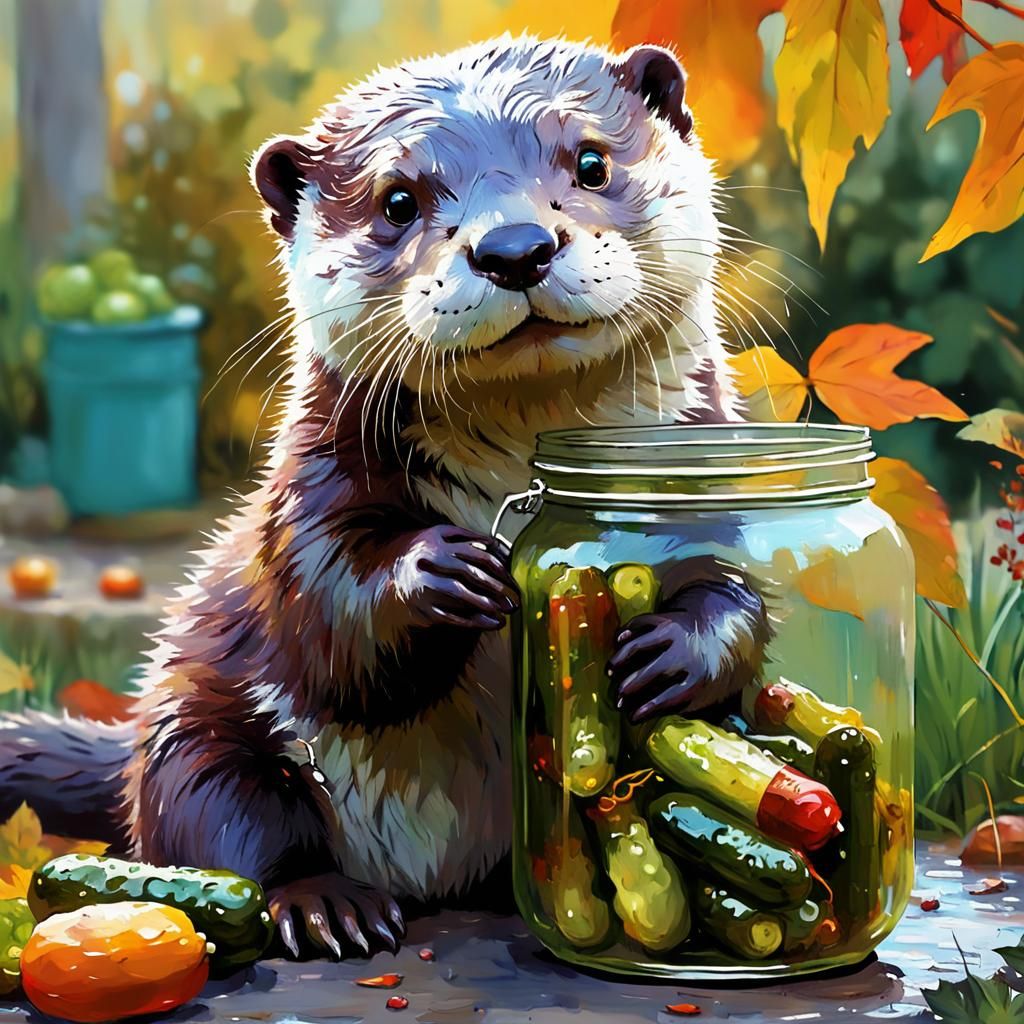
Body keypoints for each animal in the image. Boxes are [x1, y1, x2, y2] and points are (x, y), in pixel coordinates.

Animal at [0, 34, 769, 960]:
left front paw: (675, 652)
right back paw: (329, 905)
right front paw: (437, 575)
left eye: (590, 161)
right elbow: (329, 616)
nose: (515, 246)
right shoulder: (310, 490)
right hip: (196, 727)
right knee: (225, 827)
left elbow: (739, 589)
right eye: (398, 201)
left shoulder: (710, 469)